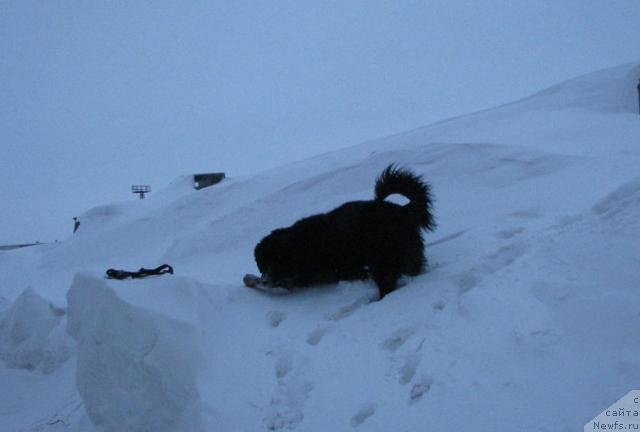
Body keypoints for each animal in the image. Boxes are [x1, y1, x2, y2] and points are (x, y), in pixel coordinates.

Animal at [254, 164, 436, 298]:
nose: (264, 281)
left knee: (387, 282)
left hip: (383, 259)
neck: (299, 246)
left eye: (275, 262)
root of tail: (402, 211)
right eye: (263, 264)